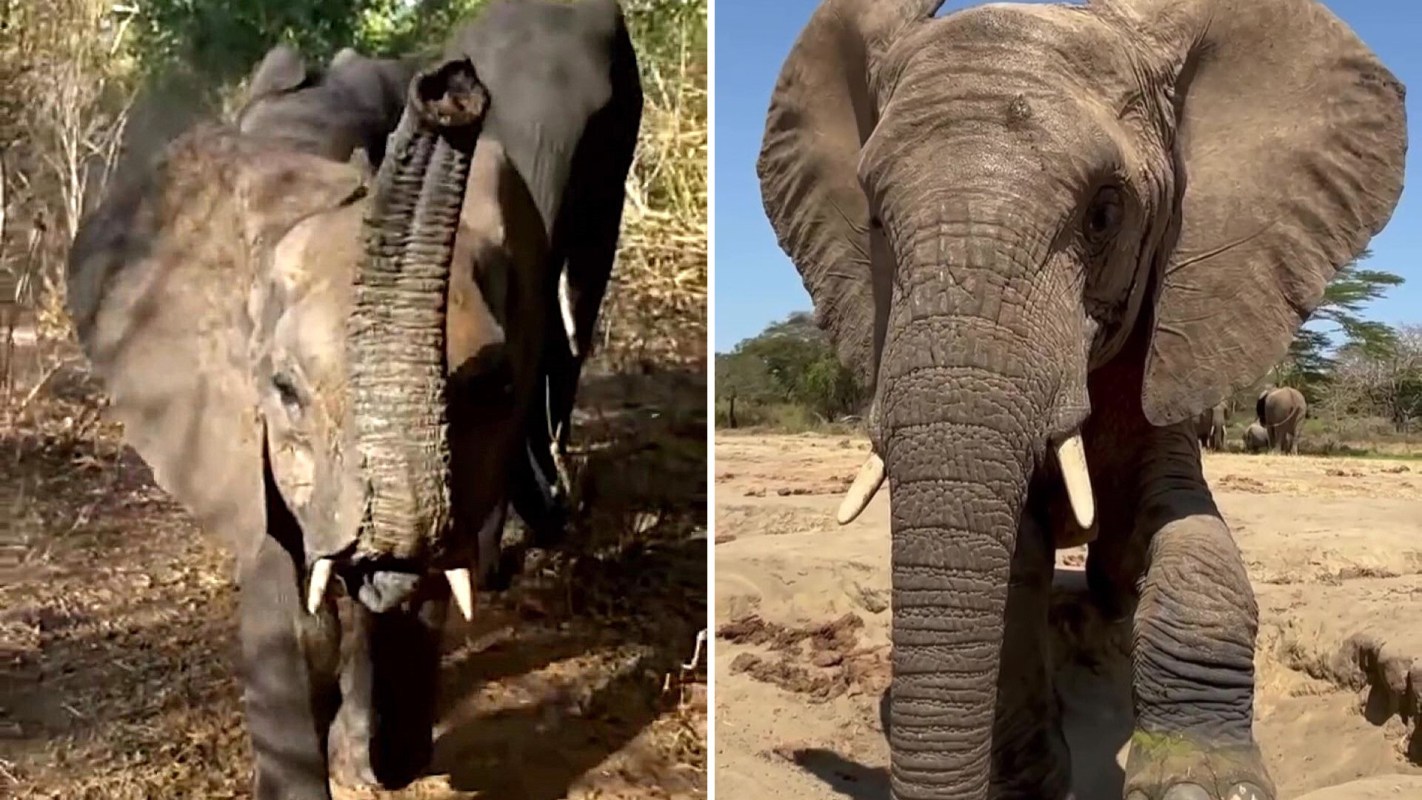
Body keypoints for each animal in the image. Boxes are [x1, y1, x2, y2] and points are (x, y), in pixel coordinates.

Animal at [64, 1, 642, 797]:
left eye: (491, 386)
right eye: (284, 391)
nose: (449, 92)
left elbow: (413, 599)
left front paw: (364, 756)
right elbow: (290, 614)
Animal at [757, 1, 1404, 798]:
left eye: (1104, 214)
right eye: (874, 218)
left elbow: (1186, 536)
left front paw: (1201, 786)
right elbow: (1016, 569)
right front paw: (1025, 781)